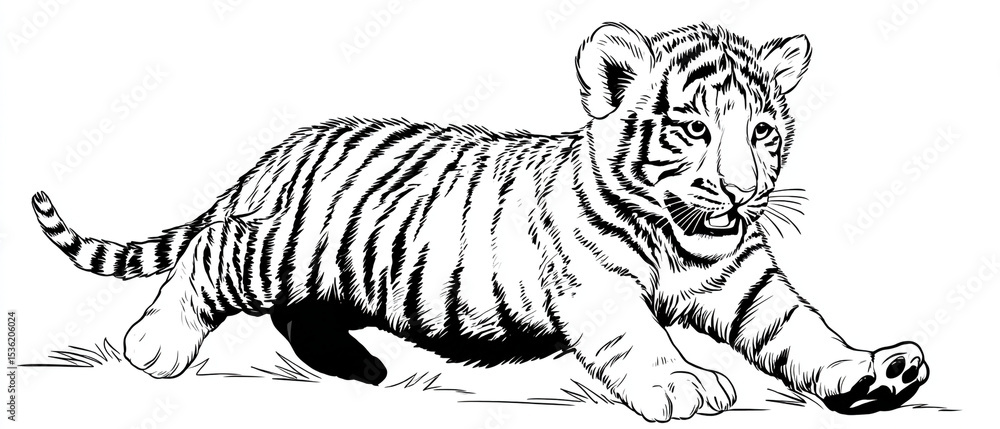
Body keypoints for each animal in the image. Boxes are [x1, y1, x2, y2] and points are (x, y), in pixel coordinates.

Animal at [31, 22, 928, 421]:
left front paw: (874, 373)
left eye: (765, 132)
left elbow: (804, 331)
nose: (742, 195)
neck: (681, 240)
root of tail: (280, 150)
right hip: (273, 246)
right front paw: (683, 381)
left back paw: (362, 370)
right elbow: (642, 336)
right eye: (692, 130)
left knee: (298, 314)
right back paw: (155, 344)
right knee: (205, 261)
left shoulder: (747, 283)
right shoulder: (600, 289)